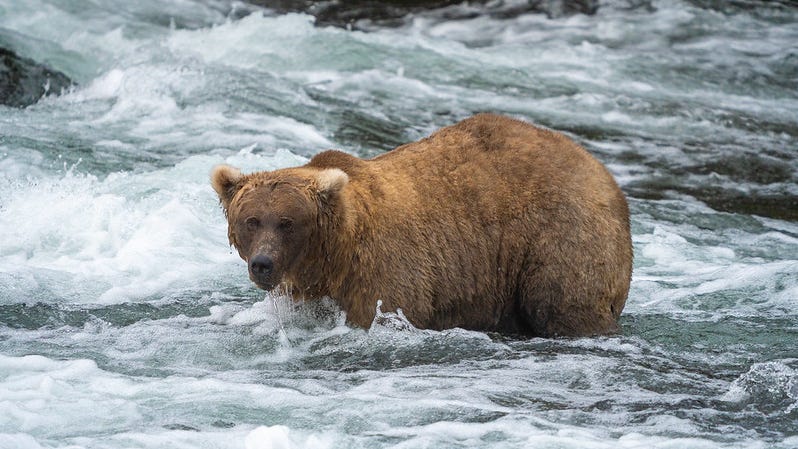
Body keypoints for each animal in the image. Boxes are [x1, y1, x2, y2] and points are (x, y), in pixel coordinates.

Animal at [211, 113, 632, 337]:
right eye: (251, 221)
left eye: (287, 222)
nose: (262, 264)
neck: (333, 256)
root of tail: (601, 171)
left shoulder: (384, 271)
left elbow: (386, 311)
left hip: (560, 236)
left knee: (561, 303)